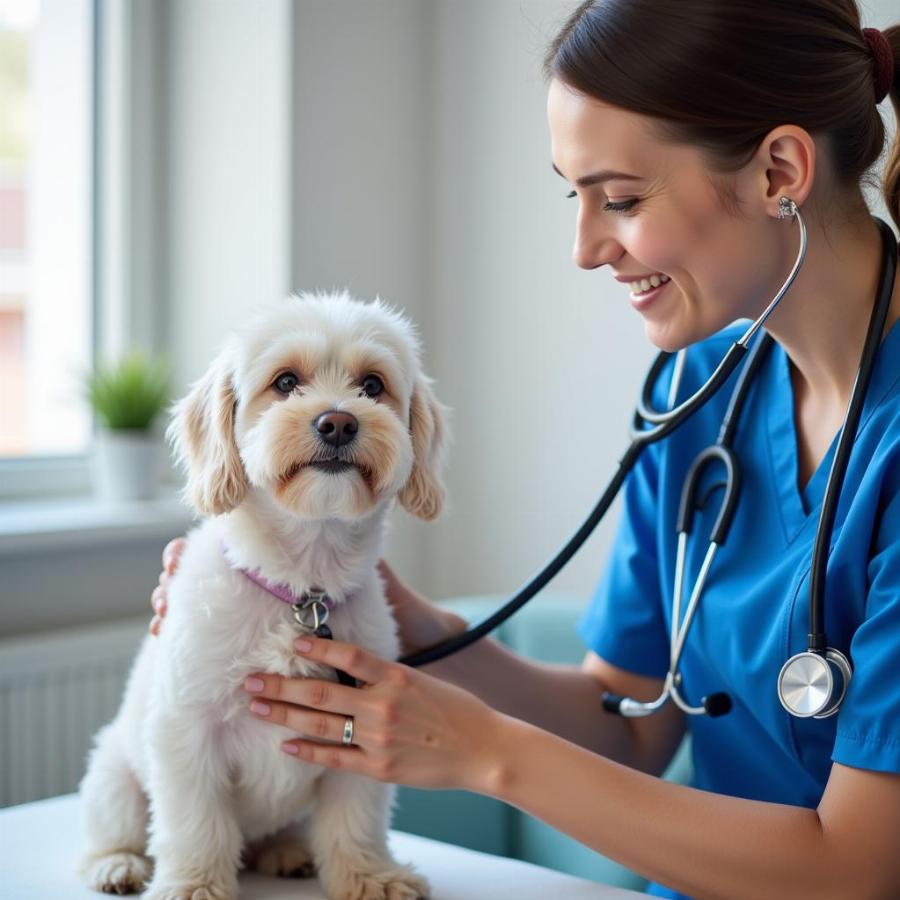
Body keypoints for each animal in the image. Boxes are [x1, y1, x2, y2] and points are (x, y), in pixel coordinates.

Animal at [79, 292, 450, 896]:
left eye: (373, 385)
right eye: (285, 382)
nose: (338, 422)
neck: (300, 588)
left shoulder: (361, 730)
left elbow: (355, 820)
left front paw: (369, 876)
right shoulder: (187, 729)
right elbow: (195, 822)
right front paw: (193, 885)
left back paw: (285, 851)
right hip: (113, 774)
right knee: (117, 826)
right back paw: (117, 863)